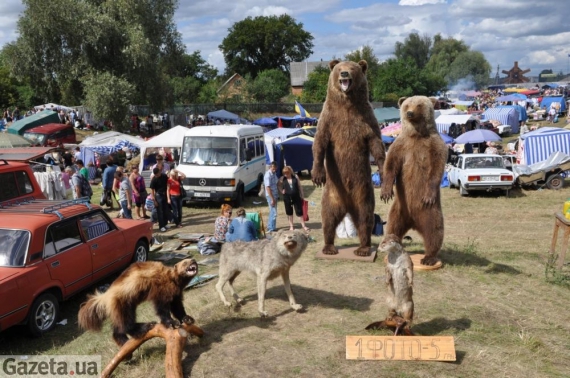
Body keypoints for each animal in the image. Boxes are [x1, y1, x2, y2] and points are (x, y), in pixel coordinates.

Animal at [310, 60, 386, 256]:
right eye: (339, 68)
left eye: (352, 68)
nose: (344, 73)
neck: (347, 104)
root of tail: (346, 206)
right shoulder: (329, 119)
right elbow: (319, 142)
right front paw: (318, 174)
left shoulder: (366, 120)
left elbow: (377, 146)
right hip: (332, 193)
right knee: (328, 218)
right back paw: (329, 247)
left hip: (363, 193)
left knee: (365, 219)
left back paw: (363, 249)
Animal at [380, 94, 446, 266]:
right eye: (407, 105)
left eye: (419, 105)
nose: (410, 113)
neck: (416, 134)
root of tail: (413, 222)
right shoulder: (401, 146)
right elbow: (390, 165)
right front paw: (385, 192)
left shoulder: (434, 146)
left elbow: (436, 170)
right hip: (399, 208)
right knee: (393, 227)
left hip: (430, 211)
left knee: (434, 232)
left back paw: (428, 258)